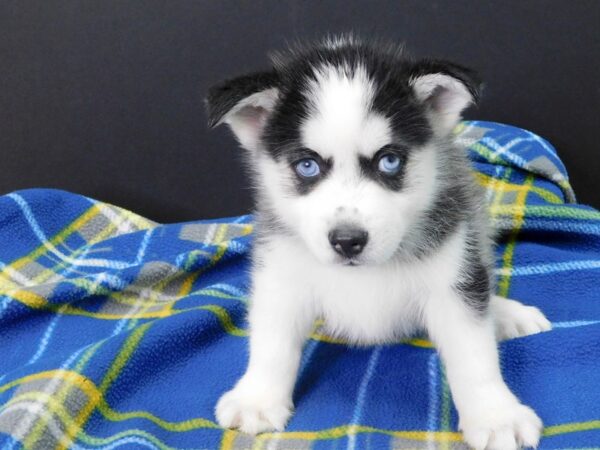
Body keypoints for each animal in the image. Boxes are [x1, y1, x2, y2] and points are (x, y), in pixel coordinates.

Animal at [207, 36, 552, 450]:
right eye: (307, 166)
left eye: (389, 161)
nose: (348, 241)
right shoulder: (281, 273)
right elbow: (272, 341)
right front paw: (257, 398)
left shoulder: (453, 274)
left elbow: (473, 352)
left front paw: (495, 414)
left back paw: (504, 312)